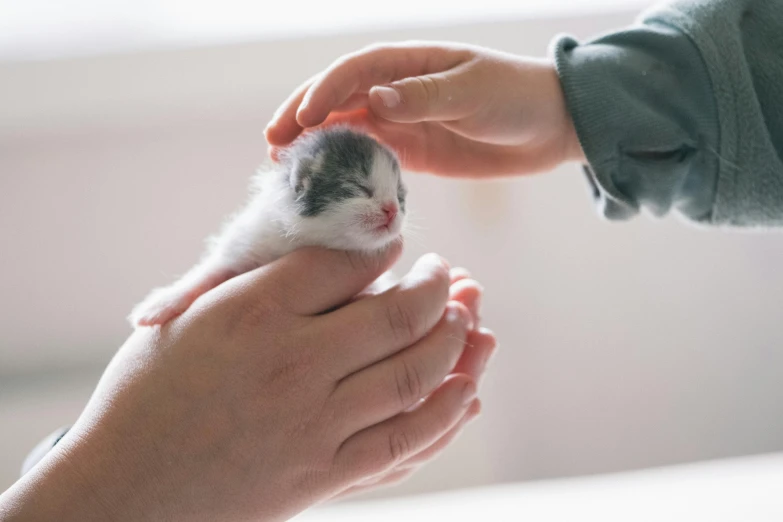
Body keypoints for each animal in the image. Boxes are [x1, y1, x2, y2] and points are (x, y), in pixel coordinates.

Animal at [129, 126, 408, 324]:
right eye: (359, 188)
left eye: (399, 195)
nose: (392, 210)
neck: (304, 240)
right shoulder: (247, 244)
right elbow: (210, 271)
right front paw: (164, 302)